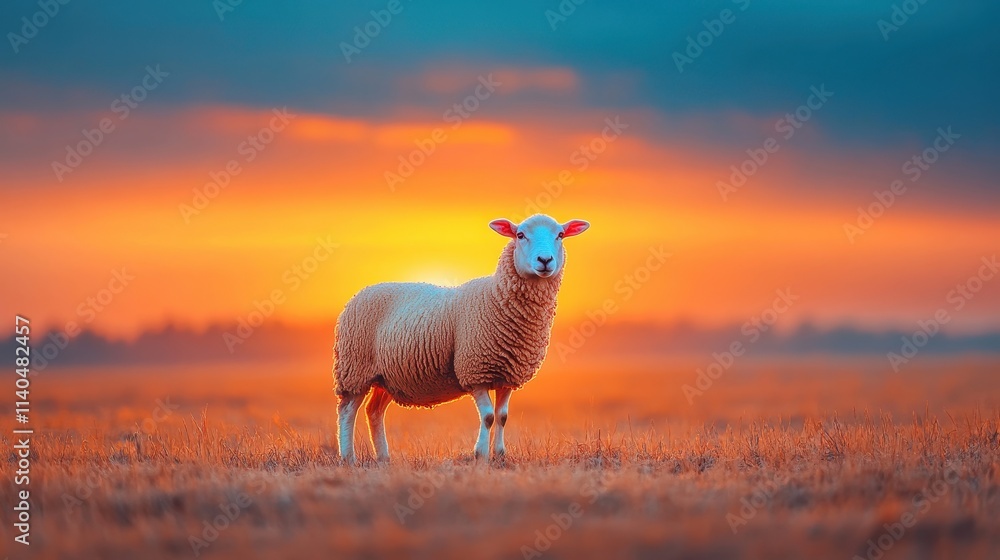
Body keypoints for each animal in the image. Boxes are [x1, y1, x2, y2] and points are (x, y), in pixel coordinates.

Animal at [333, 214, 590, 464]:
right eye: (520, 235)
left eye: (560, 235)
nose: (545, 260)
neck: (495, 296)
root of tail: (360, 293)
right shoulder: (475, 371)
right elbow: (488, 416)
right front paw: (481, 455)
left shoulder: (507, 375)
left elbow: (502, 416)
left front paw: (500, 455)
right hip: (354, 368)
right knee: (347, 411)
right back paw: (348, 458)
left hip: (386, 377)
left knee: (374, 411)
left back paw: (384, 458)